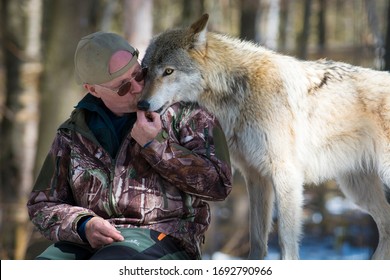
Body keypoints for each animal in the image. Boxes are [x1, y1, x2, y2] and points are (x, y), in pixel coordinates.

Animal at [136, 12, 390, 258]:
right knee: (386, 227)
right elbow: (257, 241)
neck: (239, 91)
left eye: (168, 71)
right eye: (146, 71)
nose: (141, 104)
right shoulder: (256, 176)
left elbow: (286, 244)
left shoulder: (286, 174)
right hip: (357, 189)